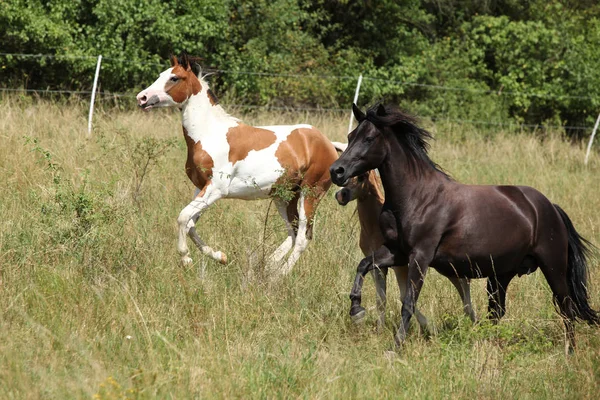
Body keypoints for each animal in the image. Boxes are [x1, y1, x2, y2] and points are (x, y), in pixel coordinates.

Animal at [138, 54, 340, 276]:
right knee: (293, 232)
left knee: (303, 237)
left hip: (310, 193)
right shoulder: (201, 187)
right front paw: (221, 257)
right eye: (160, 74)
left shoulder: (216, 189)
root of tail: (329, 143)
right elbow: (191, 225)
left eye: (174, 78)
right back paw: (269, 265)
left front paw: (186, 259)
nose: (142, 98)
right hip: (284, 197)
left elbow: (183, 218)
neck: (208, 133)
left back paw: (280, 275)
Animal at [330, 142, 476, 330]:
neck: (373, 227)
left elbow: (402, 295)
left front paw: (429, 327)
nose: (341, 196)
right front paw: (378, 329)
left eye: (362, 176)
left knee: (464, 283)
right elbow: (381, 299)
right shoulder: (377, 265)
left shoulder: (400, 265)